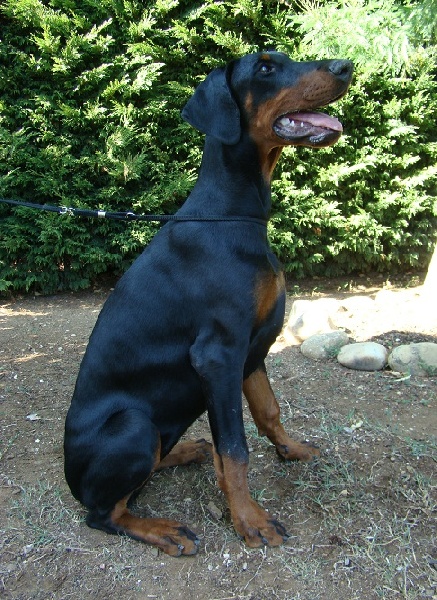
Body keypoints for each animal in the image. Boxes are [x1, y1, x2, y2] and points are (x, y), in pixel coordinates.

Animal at [64, 51, 353, 556]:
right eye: (265, 68)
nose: (345, 66)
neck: (234, 213)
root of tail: (67, 476)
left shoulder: (251, 349)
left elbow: (267, 412)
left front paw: (291, 450)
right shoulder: (218, 353)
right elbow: (235, 448)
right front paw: (249, 520)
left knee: (149, 468)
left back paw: (184, 451)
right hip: (133, 426)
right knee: (103, 514)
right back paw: (163, 529)